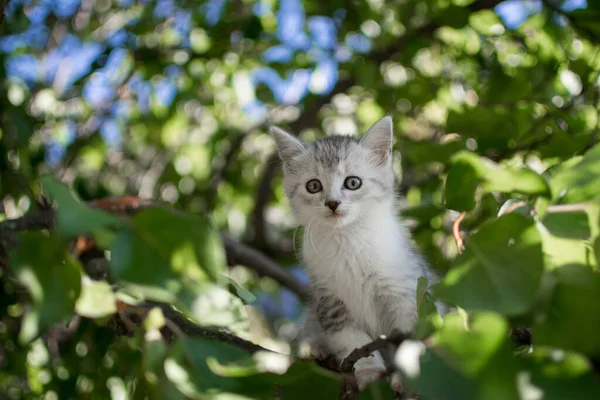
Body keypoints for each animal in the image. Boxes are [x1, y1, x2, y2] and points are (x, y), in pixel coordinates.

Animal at [272, 115, 440, 390]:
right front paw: (369, 372)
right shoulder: (330, 301)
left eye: (352, 182)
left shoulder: (405, 292)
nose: (332, 203)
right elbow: (353, 340)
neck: (348, 240)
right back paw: (316, 347)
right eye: (313, 186)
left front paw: (410, 378)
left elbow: (410, 337)